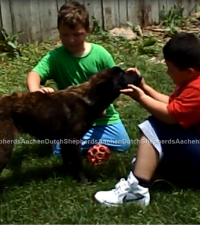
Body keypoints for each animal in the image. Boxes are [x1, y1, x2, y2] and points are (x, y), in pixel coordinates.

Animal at [0, 66, 142, 183]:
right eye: (122, 74)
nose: (140, 75)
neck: (90, 97)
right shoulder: (72, 140)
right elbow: (78, 163)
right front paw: (84, 182)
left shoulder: (65, 141)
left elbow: (69, 161)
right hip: (5, 147)